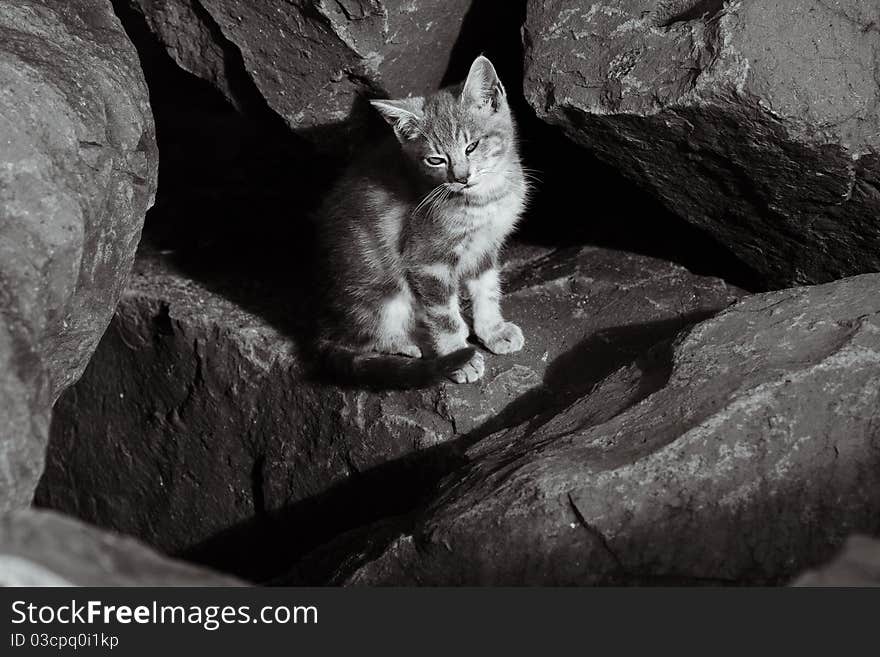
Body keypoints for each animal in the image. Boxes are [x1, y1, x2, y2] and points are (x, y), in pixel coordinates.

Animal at [314, 56, 524, 386]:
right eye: (436, 160)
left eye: (472, 146)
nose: (461, 177)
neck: (485, 199)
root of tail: (326, 325)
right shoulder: (428, 260)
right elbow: (444, 315)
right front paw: (458, 356)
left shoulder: (485, 247)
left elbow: (487, 290)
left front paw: (493, 330)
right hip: (384, 293)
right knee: (370, 338)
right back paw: (416, 342)